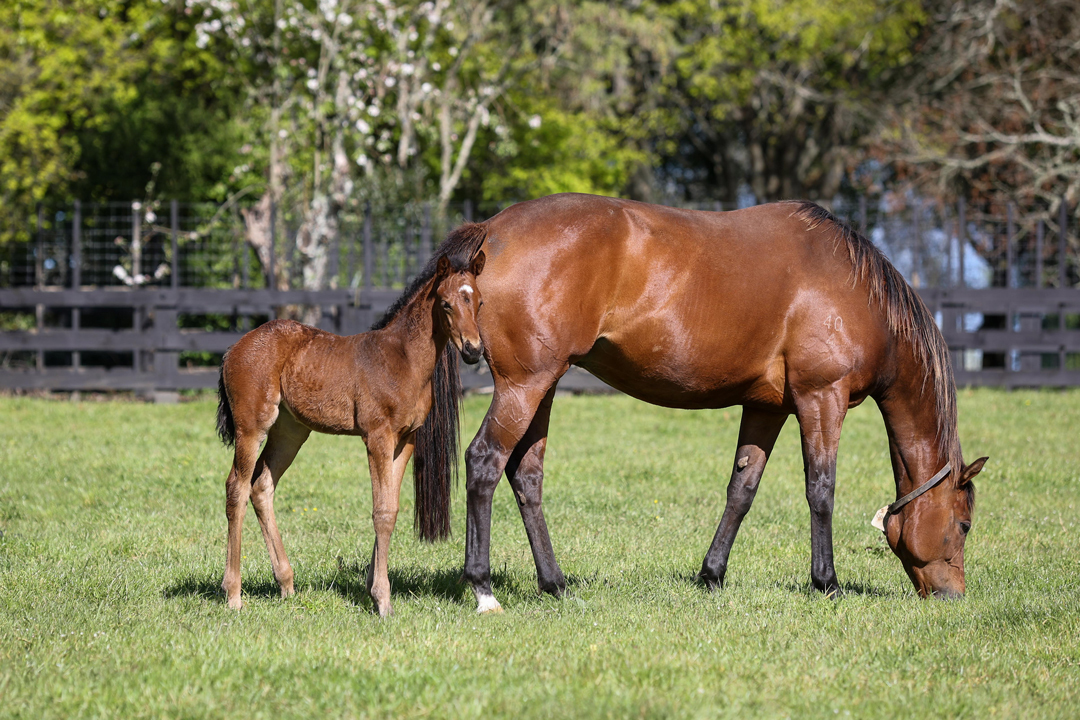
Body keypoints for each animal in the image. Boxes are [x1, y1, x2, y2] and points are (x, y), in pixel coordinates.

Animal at [214, 252, 486, 613]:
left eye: (479, 302)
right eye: (446, 304)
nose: (473, 350)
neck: (403, 359)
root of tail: (233, 349)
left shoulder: (406, 440)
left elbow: (391, 507)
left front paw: (374, 588)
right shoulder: (377, 436)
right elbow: (381, 511)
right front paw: (383, 601)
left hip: (290, 431)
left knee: (262, 486)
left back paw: (286, 584)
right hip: (252, 426)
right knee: (237, 487)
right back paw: (233, 594)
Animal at [419, 194, 989, 613]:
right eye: (963, 525)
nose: (953, 596)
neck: (854, 290)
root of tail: (491, 230)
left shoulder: (767, 407)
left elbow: (742, 489)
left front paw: (712, 574)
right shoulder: (821, 398)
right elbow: (821, 490)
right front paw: (826, 582)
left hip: (543, 386)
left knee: (526, 476)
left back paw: (555, 583)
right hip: (524, 385)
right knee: (485, 463)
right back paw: (483, 587)